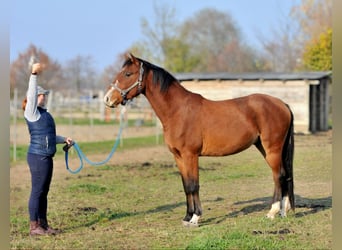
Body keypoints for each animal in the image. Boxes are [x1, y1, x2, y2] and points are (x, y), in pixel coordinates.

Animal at [102, 53, 294, 227]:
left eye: (128, 74)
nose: (107, 99)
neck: (178, 110)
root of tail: (283, 104)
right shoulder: (178, 157)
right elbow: (186, 186)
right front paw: (187, 217)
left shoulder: (190, 155)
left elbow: (194, 185)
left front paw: (195, 218)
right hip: (265, 147)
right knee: (284, 175)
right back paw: (284, 211)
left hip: (272, 148)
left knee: (278, 175)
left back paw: (273, 212)